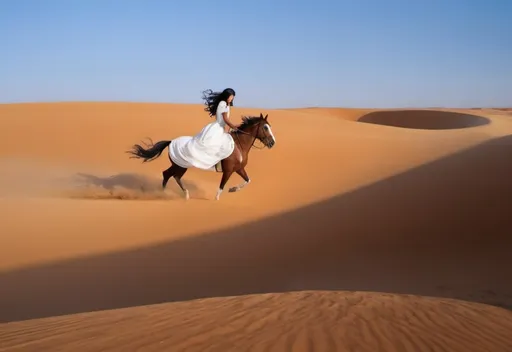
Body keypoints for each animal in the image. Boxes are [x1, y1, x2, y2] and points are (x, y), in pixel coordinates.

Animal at [127, 113, 276, 199]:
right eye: (265, 127)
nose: (272, 142)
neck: (239, 145)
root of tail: (171, 142)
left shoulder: (239, 169)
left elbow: (248, 180)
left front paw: (233, 189)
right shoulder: (228, 171)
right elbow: (221, 186)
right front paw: (217, 199)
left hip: (180, 166)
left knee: (171, 175)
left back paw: (181, 194)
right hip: (180, 165)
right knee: (169, 175)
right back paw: (166, 194)